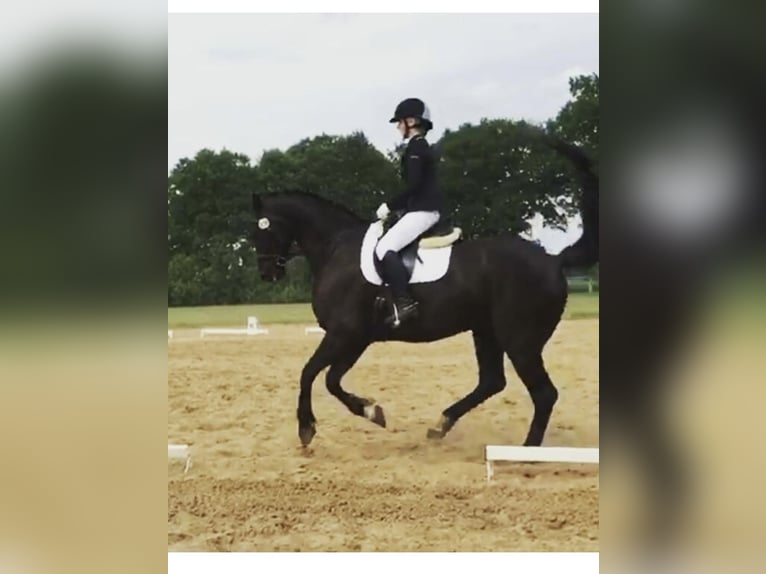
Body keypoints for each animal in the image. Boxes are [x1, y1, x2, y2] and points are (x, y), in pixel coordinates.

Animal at [249, 137, 598, 448]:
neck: (337, 248)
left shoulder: (343, 333)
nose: (267, 273)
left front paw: (307, 428)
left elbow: (309, 373)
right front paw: (373, 412)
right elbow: (331, 380)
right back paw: (441, 425)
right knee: (492, 381)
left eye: (260, 228)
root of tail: (553, 260)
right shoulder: (356, 338)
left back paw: (526, 450)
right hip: (486, 331)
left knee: (543, 393)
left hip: (520, 340)